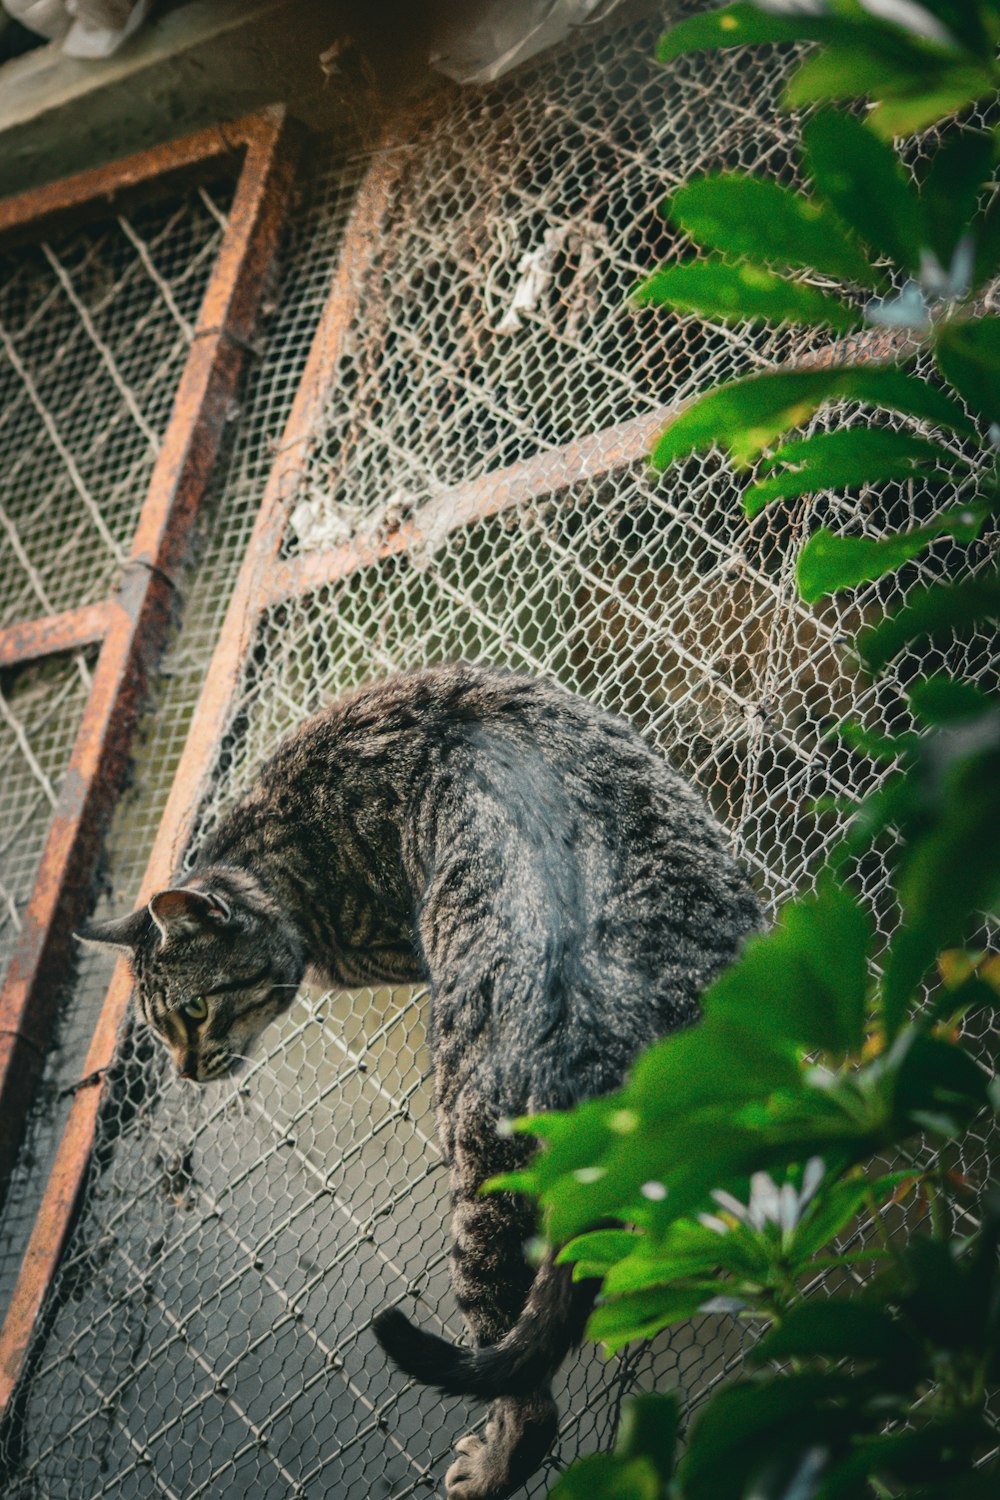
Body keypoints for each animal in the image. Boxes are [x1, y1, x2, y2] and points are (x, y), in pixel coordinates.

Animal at [83, 669, 758, 1500]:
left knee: (529, 1397)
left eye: (195, 1013)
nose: (185, 1068)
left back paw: (489, 1468)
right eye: (159, 1030)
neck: (274, 849)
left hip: (484, 1193)